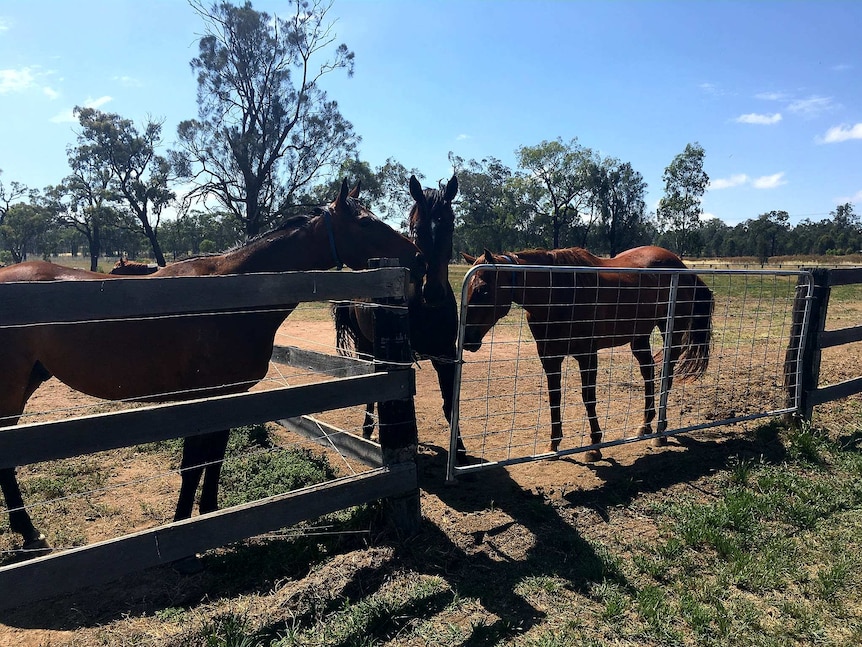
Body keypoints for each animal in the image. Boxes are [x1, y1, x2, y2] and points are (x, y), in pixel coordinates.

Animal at [0, 178, 426, 556]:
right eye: (366, 222)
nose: (418, 258)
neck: (228, 292)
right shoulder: (202, 400)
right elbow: (193, 464)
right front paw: (182, 531)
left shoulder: (227, 397)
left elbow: (214, 459)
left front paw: (210, 515)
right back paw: (30, 534)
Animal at [334, 176, 470, 460]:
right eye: (416, 229)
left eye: (450, 226)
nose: (433, 291)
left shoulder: (446, 354)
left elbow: (449, 403)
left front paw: (460, 451)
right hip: (366, 346)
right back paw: (368, 429)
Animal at [466, 247, 716, 460]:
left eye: (482, 289)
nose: (467, 339)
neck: (560, 293)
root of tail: (684, 269)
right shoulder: (549, 357)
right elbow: (554, 397)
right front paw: (553, 445)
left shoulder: (587, 355)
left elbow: (588, 397)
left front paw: (594, 446)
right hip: (639, 337)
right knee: (649, 373)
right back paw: (645, 426)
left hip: (671, 330)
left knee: (667, 375)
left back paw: (660, 433)